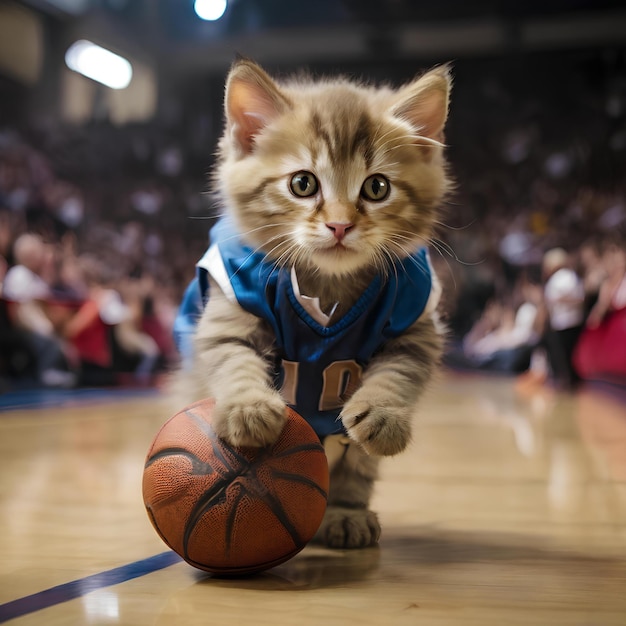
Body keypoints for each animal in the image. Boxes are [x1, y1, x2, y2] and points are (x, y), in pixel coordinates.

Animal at [173, 58, 450, 544]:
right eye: (303, 184)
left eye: (377, 188)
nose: (340, 225)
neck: (328, 283)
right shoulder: (232, 306)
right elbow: (233, 361)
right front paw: (249, 407)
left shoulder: (414, 320)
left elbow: (397, 374)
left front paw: (384, 413)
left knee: (353, 466)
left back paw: (343, 514)